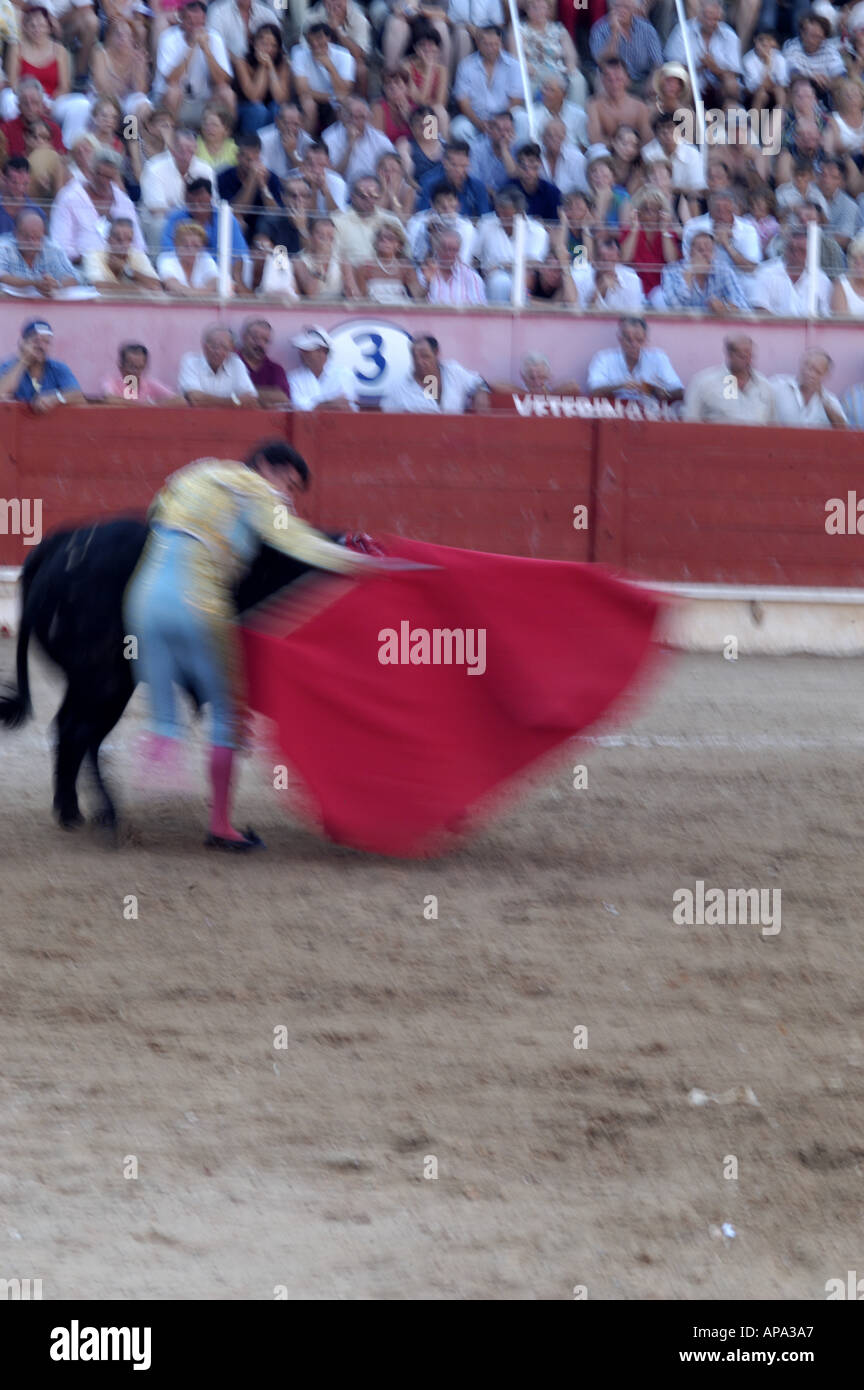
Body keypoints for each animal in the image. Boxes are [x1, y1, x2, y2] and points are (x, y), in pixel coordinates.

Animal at [0, 522, 325, 822]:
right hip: (107, 682)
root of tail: (60, 543)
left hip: (86, 683)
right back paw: (99, 814)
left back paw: (70, 809)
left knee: (70, 727)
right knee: (80, 732)